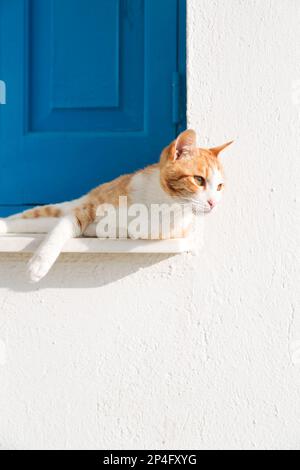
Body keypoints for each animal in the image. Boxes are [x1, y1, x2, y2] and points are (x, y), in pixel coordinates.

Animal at [0, 129, 232, 282]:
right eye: (199, 180)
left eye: (220, 186)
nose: (213, 203)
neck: (161, 203)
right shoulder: (89, 206)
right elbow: (62, 227)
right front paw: (40, 262)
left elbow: (114, 229)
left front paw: (96, 230)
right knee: (32, 217)